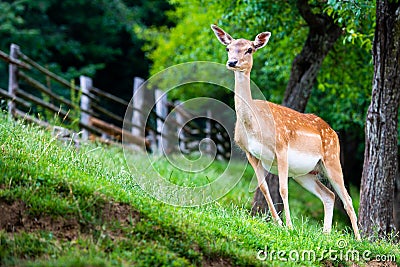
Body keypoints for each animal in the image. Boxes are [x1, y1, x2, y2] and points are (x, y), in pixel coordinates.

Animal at [211, 24, 360, 241]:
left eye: (249, 49)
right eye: (228, 48)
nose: (232, 62)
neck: (254, 126)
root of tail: (334, 132)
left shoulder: (281, 147)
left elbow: (282, 189)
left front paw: (289, 226)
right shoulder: (249, 153)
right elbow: (264, 188)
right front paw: (278, 223)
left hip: (332, 158)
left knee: (347, 199)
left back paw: (359, 239)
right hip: (305, 173)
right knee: (329, 195)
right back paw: (326, 234)